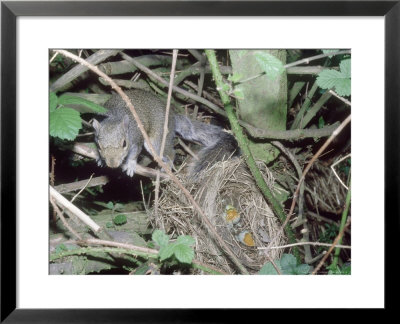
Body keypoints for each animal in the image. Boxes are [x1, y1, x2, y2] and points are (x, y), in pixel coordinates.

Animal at [92, 89, 239, 177]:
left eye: (124, 143)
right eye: (99, 146)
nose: (112, 164)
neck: (115, 116)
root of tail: (172, 117)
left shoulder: (136, 139)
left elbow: (134, 153)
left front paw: (131, 164)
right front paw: (100, 158)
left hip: (157, 140)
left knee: (171, 153)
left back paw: (167, 165)